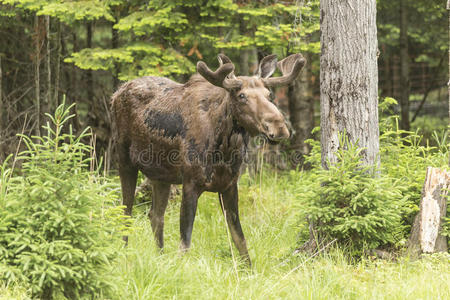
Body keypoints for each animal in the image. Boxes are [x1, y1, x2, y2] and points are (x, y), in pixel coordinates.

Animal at [111, 52, 306, 264]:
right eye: (242, 96)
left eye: (269, 95)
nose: (279, 128)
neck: (224, 153)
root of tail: (116, 93)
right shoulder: (190, 182)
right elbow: (185, 242)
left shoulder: (230, 185)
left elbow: (240, 240)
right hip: (124, 160)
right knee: (126, 212)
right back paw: (124, 256)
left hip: (160, 175)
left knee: (155, 215)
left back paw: (160, 258)